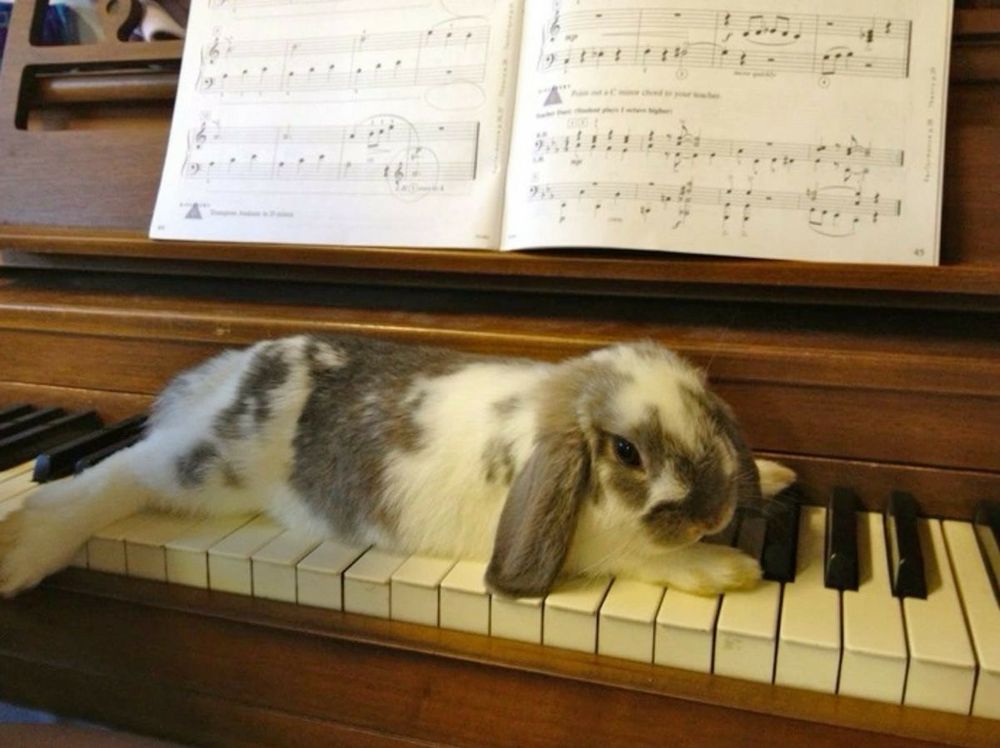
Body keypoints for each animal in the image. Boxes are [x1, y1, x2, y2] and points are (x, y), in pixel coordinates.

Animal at [0, 335, 795, 599]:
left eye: (710, 409)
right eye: (627, 452)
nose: (718, 512)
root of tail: (236, 370)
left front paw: (777, 476)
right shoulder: (597, 545)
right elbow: (640, 553)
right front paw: (721, 568)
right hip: (202, 469)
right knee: (119, 474)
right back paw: (26, 545)